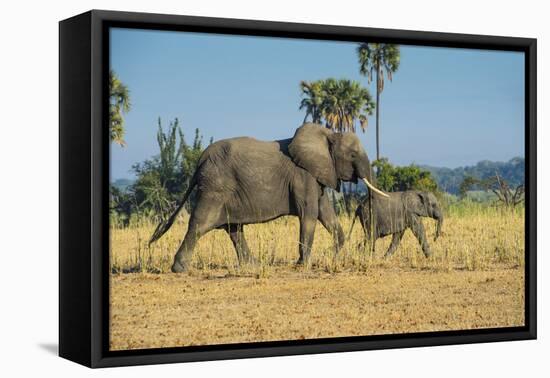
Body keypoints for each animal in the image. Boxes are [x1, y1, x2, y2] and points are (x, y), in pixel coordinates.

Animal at [149, 122, 386, 272]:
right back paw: (179, 269)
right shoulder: (302, 176)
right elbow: (309, 214)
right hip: (215, 187)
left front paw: (329, 255)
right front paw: (303, 264)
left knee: (233, 228)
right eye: (353, 155)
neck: (328, 134)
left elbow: (325, 213)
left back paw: (251, 265)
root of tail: (200, 160)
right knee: (201, 224)